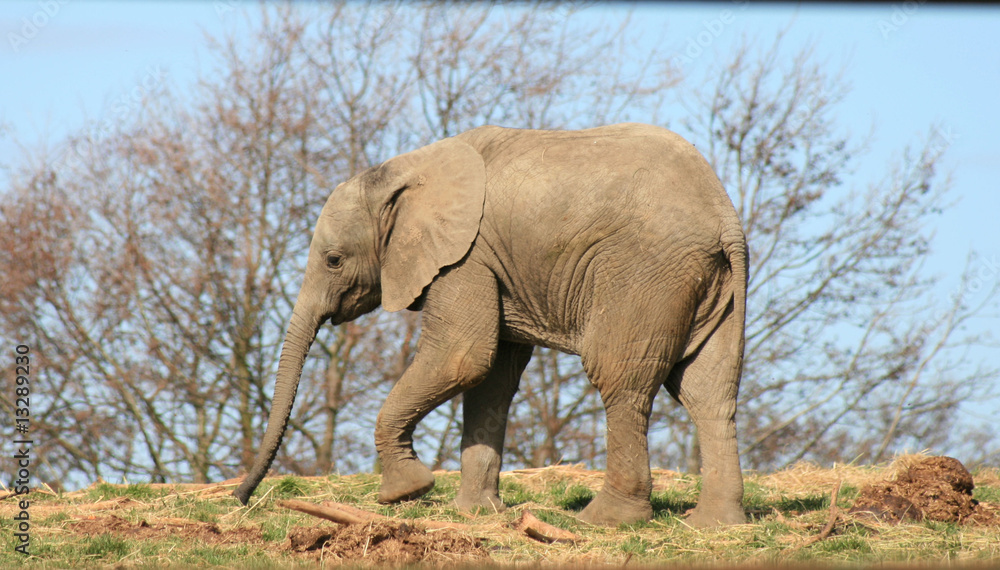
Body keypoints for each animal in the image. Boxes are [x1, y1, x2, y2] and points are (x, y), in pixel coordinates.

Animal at [232, 122, 748, 527]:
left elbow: (461, 358)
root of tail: (725, 217)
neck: (404, 170)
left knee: (620, 380)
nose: (241, 499)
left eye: (334, 260)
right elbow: (490, 381)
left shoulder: (466, 257)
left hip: (644, 274)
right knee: (708, 393)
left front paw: (405, 492)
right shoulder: (493, 267)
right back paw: (712, 524)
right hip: (707, 285)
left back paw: (604, 520)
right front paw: (476, 513)